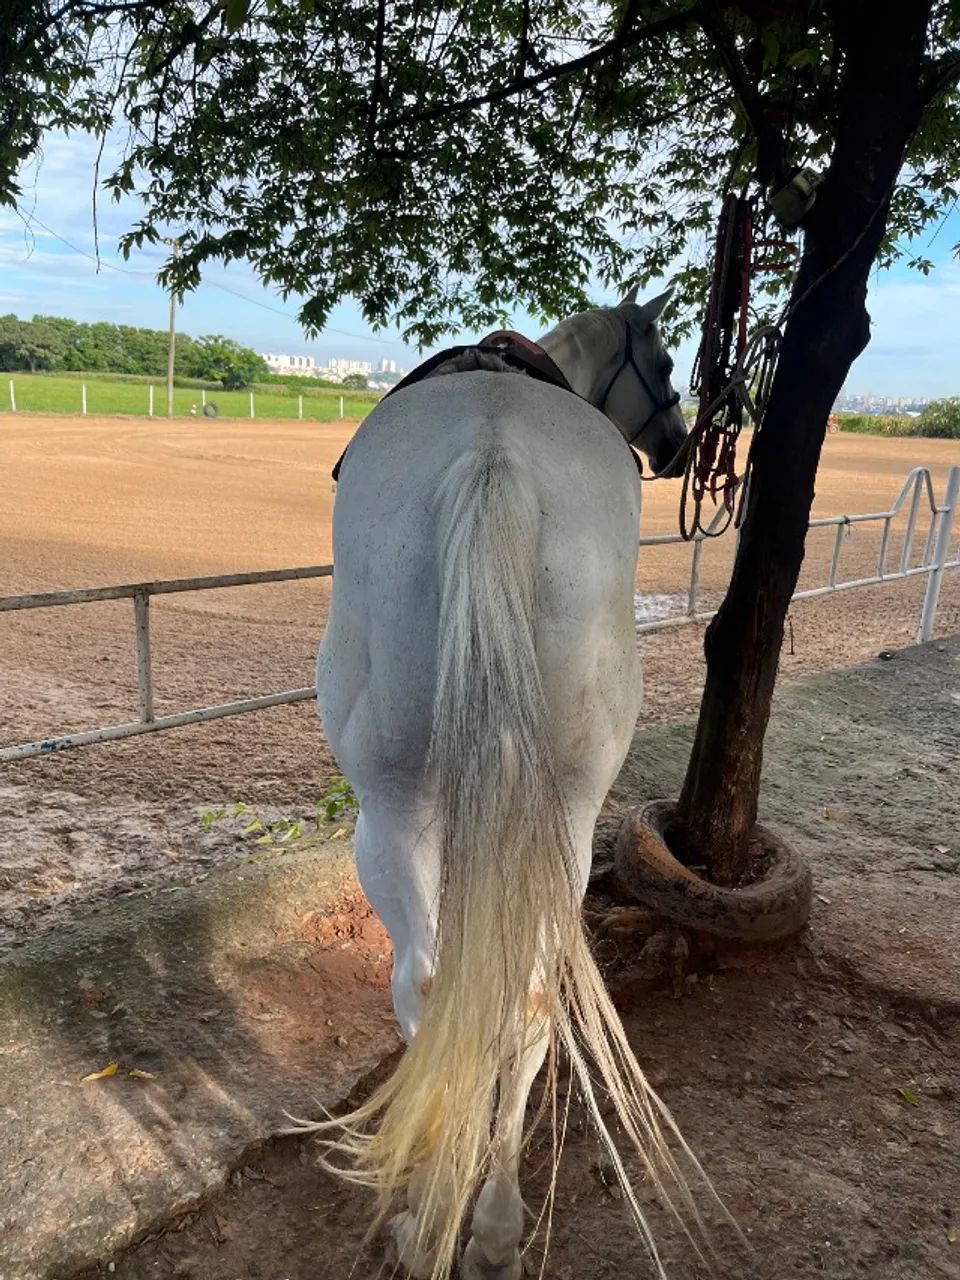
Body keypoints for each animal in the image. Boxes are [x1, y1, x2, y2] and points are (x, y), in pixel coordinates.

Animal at [308, 287, 712, 1280]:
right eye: (666, 363)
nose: (683, 445)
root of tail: (495, 458)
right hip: (550, 817)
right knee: (509, 998)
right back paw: (478, 1224)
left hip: (397, 809)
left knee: (444, 990)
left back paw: (442, 1211)